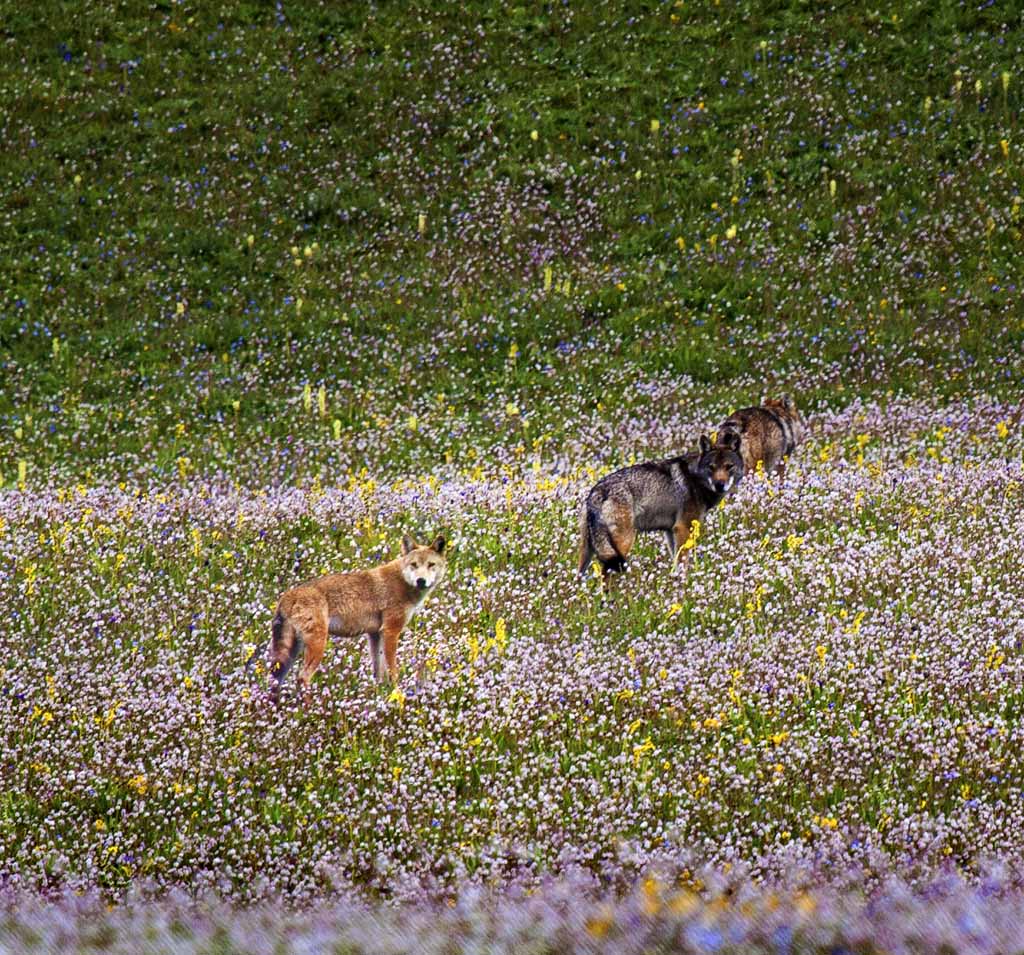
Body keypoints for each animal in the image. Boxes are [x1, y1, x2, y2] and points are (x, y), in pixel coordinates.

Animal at [249, 536, 446, 700]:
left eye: (431, 565)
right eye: (414, 564)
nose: (421, 581)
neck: (403, 583)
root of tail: (287, 597)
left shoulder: (375, 634)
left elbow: (379, 671)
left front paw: (380, 694)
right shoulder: (391, 631)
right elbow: (393, 670)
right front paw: (396, 692)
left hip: (289, 654)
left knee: (274, 681)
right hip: (317, 646)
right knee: (302, 678)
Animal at [577, 436, 745, 585]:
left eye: (729, 466)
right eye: (712, 467)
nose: (719, 484)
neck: (695, 479)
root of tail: (598, 491)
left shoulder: (671, 532)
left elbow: (676, 563)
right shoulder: (683, 528)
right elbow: (683, 563)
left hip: (589, 550)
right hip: (623, 544)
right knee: (606, 575)